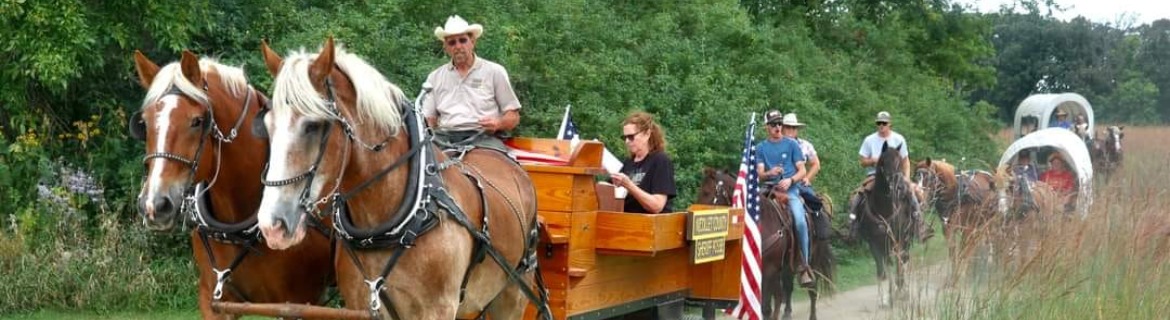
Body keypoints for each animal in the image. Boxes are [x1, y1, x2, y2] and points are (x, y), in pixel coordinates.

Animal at [253, 38, 545, 317]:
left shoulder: (437, 309)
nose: (272, 226)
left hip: (512, 295)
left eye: (313, 126)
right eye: (267, 126)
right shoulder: (361, 304)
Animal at [856, 141, 917, 305]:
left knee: (904, 260)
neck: (884, 210)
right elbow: (882, 270)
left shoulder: (897, 240)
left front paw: (897, 292)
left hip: (905, 239)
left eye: (899, 161)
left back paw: (904, 291)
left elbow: (897, 266)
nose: (898, 185)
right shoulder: (875, 243)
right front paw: (883, 299)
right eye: (884, 161)